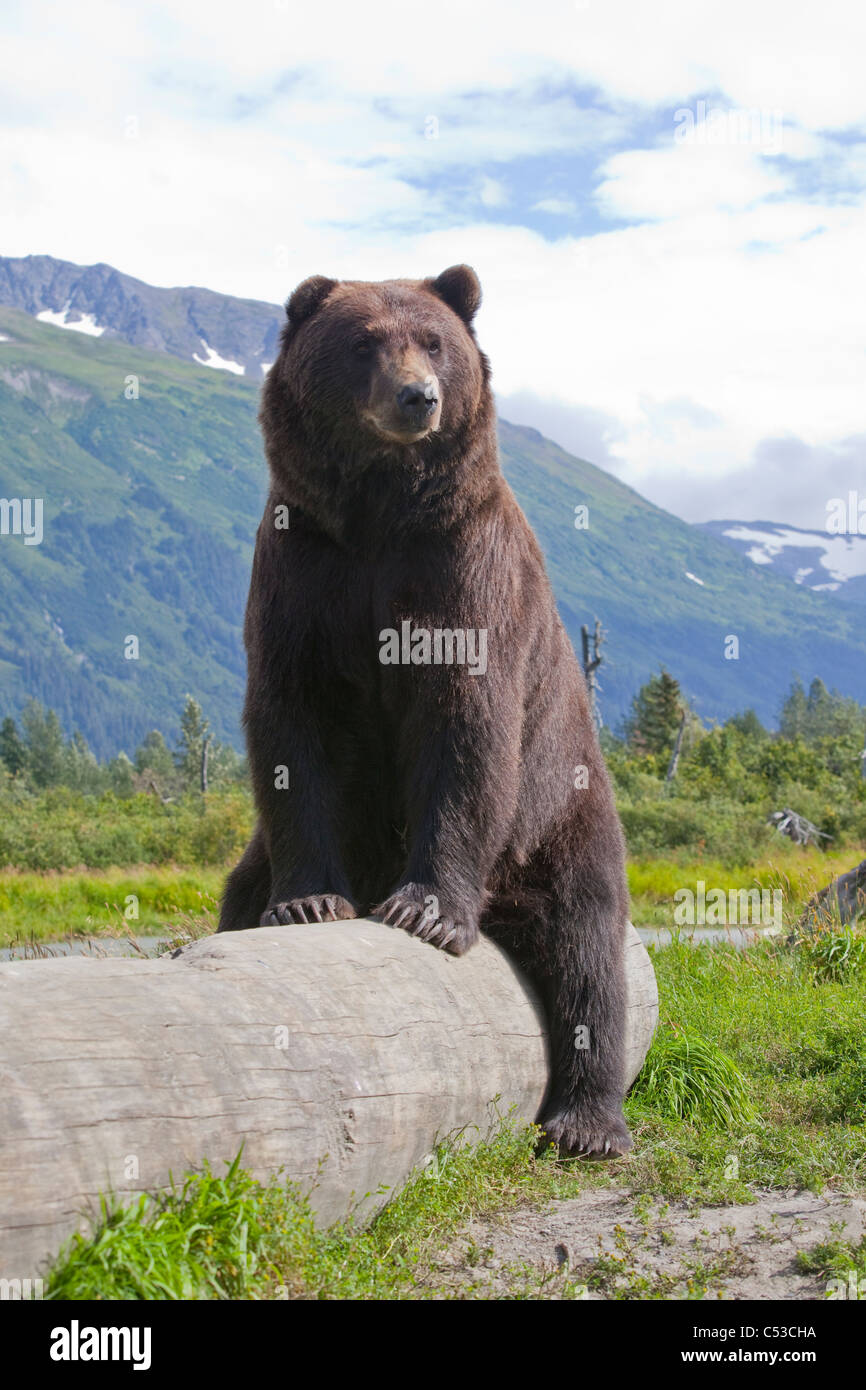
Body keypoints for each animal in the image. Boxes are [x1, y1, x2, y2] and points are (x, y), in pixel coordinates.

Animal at [219, 265, 633, 1156]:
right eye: (365, 341)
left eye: (436, 342)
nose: (418, 396)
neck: (379, 512)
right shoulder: (305, 570)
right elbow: (292, 729)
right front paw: (309, 901)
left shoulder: (461, 568)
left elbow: (464, 731)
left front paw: (427, 910)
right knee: (236, 892)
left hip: (561, 810)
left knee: (588, 950)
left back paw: (587, 1123)